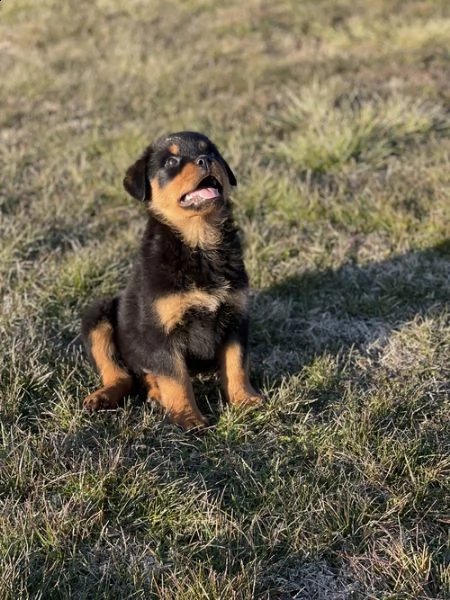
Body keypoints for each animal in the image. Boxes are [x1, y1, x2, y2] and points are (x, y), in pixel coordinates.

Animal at [82, 132, 262, 432]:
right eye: (171, 161)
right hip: (97, 316)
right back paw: (106, 396)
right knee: (122, 374)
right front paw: (189, 418)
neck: (199, 241)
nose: (205, 160)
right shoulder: (160, 331)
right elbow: (177, 379)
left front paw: (245, 400)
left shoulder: (236, 317)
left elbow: (236, 364)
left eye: (211, 152)